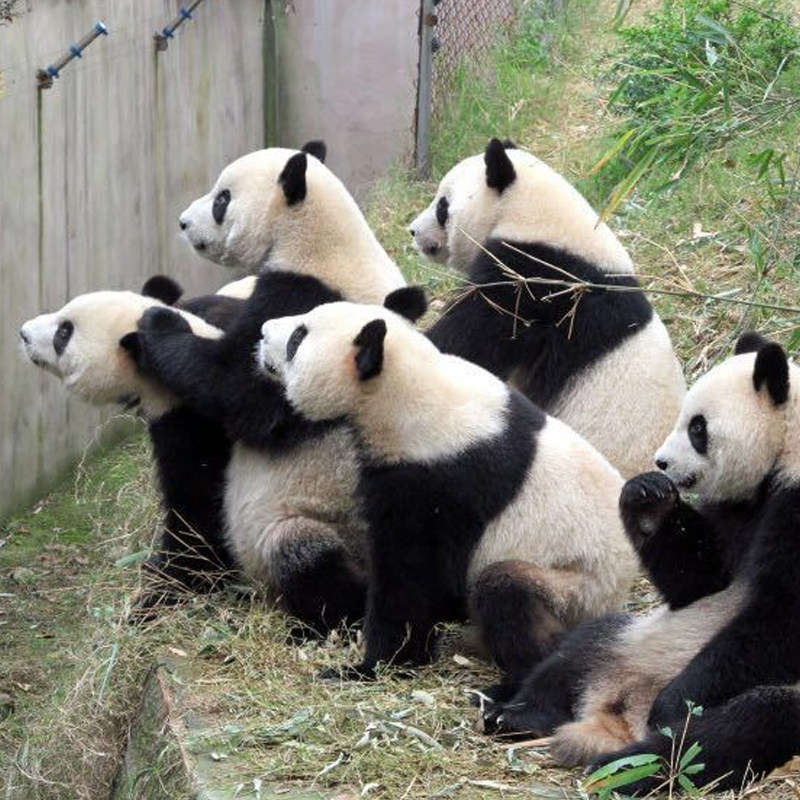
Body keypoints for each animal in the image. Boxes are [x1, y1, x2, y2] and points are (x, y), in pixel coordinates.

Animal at [132, 143, 406, 634]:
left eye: (222, 199)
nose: (183, 222)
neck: (318, 238)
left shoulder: (312, 304)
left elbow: (246, 394)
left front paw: (159, 323)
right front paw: (193, 305)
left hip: (319, 524)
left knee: (301, 553)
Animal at [257, 294, 637, 689]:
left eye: (297, 338)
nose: (263, 331)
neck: (410, 387)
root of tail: (620, 589)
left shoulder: (440, 482)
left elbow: (412, 578)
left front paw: (374, 664)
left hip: (576, 586)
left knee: (508, 593)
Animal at [482, 332, 800, 794]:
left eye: (698, 427)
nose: (662, 462)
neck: (787, 448)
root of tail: (620, 710)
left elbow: (780, 616)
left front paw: (678, 702)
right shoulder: (742, 506)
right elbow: (703, 581)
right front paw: (649, 499)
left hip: (776, 693)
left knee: (736, 728)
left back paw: (631, 763)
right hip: (636, 637)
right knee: (578, 651)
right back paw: (518, 713)